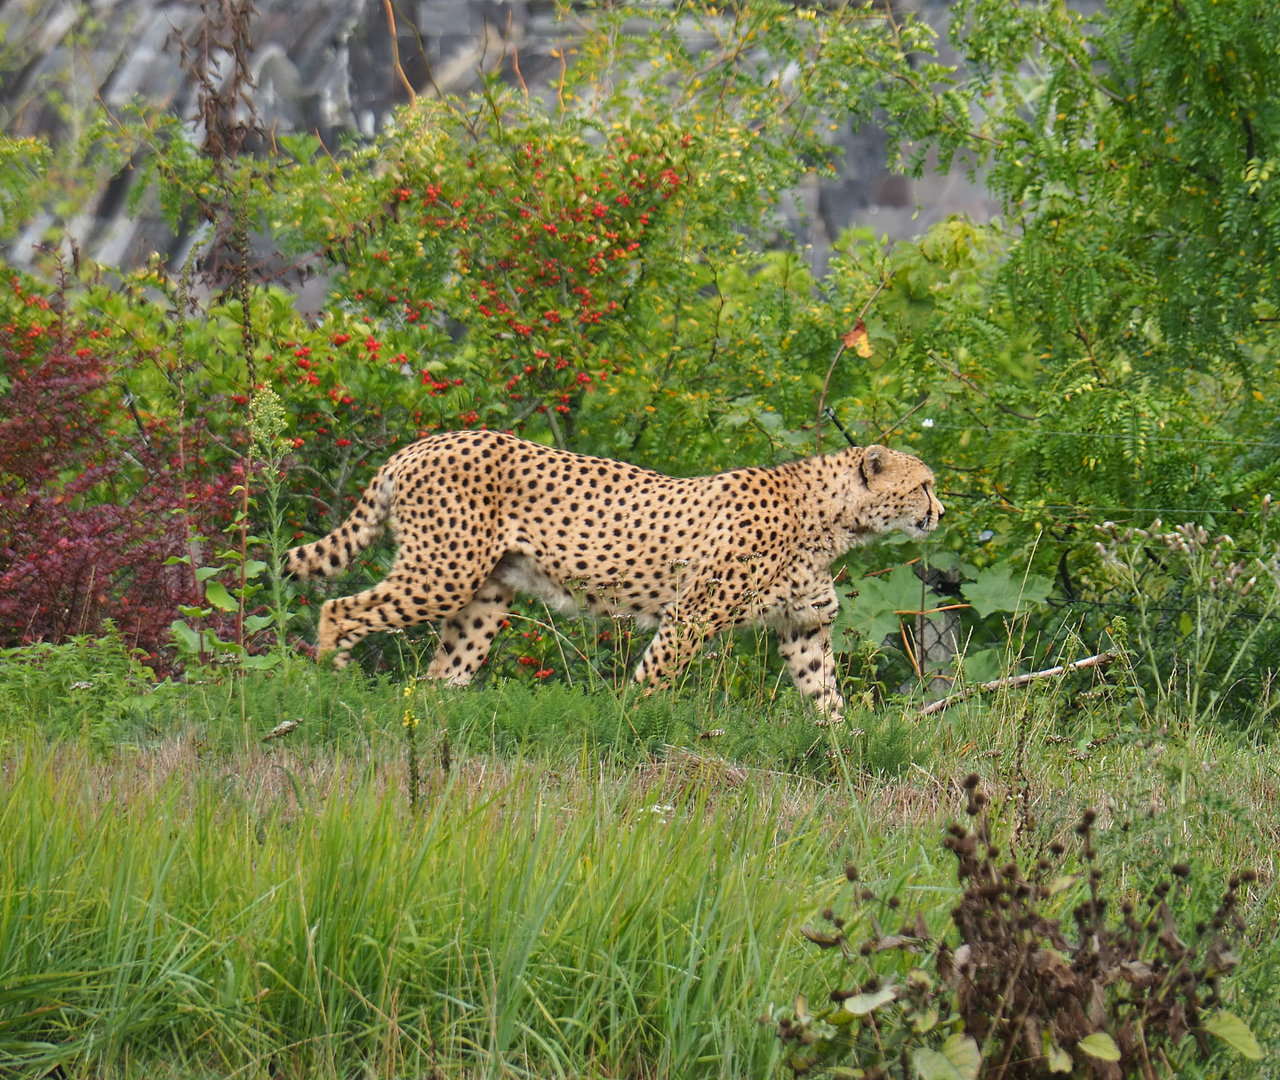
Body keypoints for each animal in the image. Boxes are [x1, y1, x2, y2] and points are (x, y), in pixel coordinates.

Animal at [284, 429, 943, 719]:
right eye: (924, 485)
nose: (941, 513)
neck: (834, 519)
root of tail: (424, 442)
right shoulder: (690, 615)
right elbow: (654, 680)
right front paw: (629, 724)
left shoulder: (804, 626)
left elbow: (825, 693)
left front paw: (848, 746)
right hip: (442, 571)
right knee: (338, 609)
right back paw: (329, 686)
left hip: (483, 597)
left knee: (441, 673)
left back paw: (435, 710)